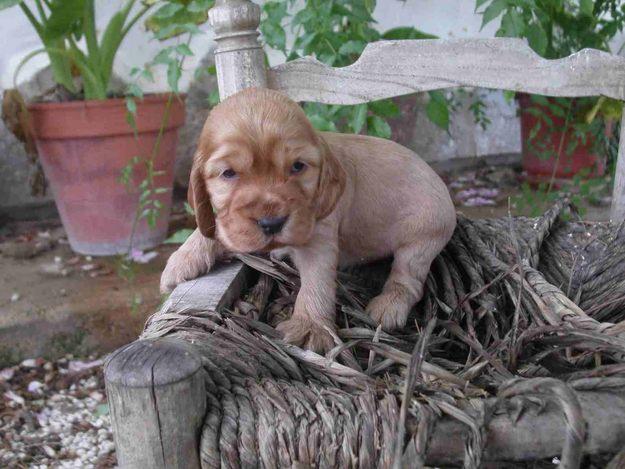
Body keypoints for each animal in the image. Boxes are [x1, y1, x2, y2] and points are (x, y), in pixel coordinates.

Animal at [158, 88, 456, 352]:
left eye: (298, 166)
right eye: (228, 173)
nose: (271, 223)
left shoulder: (318, 238)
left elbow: (316, 281)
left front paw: (310, 326)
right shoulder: (237, 222)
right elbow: (217, 226)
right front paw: (183, 258)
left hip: (421, 236)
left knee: (409, 280)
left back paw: (388, 305)